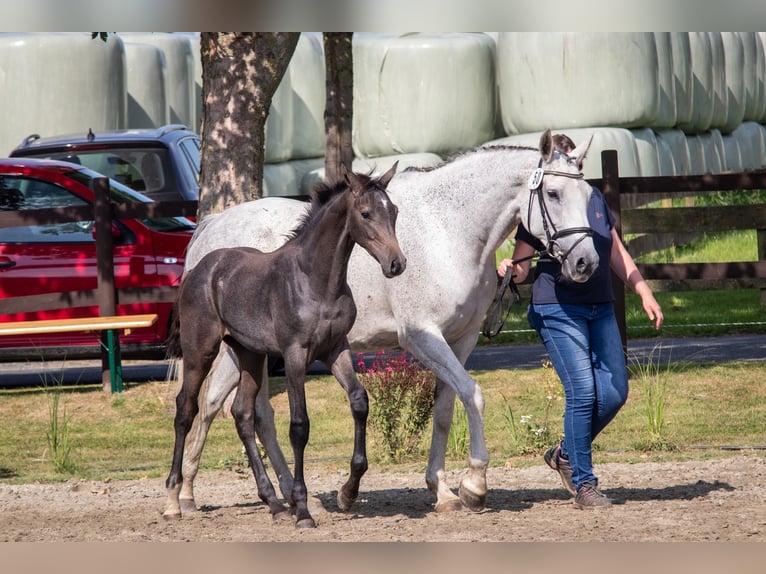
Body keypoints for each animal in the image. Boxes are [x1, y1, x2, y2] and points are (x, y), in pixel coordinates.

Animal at [170, 129, 600, 516]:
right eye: (553, 194)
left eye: (587, 196)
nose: (585, 263)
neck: (448, 230)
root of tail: (213, 226)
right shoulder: (423, 338)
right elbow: (473, 394)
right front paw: (475, 486)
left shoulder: (460, 341)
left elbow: (445, 410)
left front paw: (442, 491)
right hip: (231, 350)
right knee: (211, 405)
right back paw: (187, 495)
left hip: (256, 352)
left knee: (252, 414)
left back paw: (280, 496)